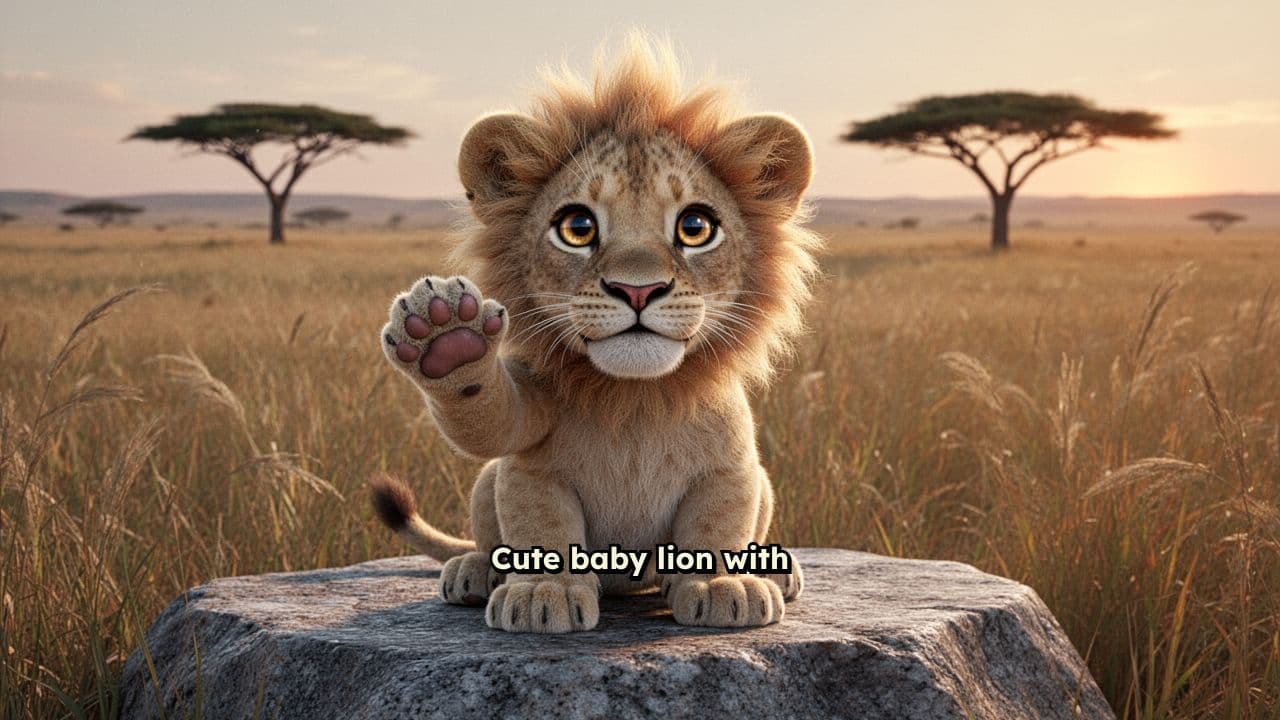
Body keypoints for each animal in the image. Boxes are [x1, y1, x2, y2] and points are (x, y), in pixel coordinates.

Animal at [372, 35, 821, 633]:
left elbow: (718, 522)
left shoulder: (731, 466)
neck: (635, 397)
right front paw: (447, 337)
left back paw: (774, 572)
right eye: (578, 228)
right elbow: (529, 501)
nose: (638, 290)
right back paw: (475, 572)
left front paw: (721, 586)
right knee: (485, 529)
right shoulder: (532, 454)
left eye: (695, 227)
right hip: (486, 483)